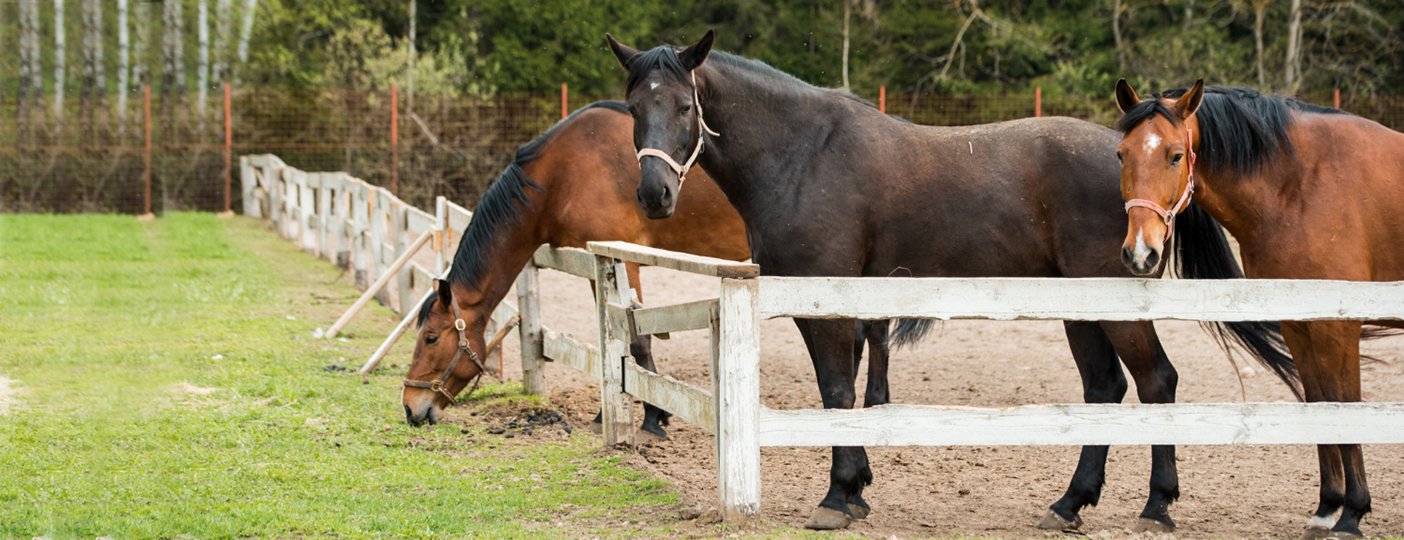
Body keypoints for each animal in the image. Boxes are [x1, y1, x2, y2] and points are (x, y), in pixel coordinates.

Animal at [401, 99, 892, 437]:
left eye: (431, 338)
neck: (561, 171)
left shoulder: (623, 258)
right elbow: (611, 340)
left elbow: (635, 341)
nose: (410, 407)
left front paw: (652, 417)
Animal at [603, 31, 1291, 532]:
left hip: (1111, 299)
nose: (655, 195)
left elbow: (836, 393)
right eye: (635, 109)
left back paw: (1156, 506)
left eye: (685, 107)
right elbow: (844, 391)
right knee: (1105, 388)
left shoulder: (826, 302)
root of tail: (1138, 165)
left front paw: (838, 497)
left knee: (1156, 382)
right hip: (1077, 305)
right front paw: (857, 490)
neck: (802, 154)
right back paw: (1070, 503)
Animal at [1117, 79, 1404, 538]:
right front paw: (1327, 508)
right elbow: (1319, 402)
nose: (1140, 253)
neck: (1303, 184)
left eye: (1175, 155)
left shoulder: (1336, 327)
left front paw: (1353, 513)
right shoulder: (1296, 323)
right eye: (1121, 153)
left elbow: (1344, 403)